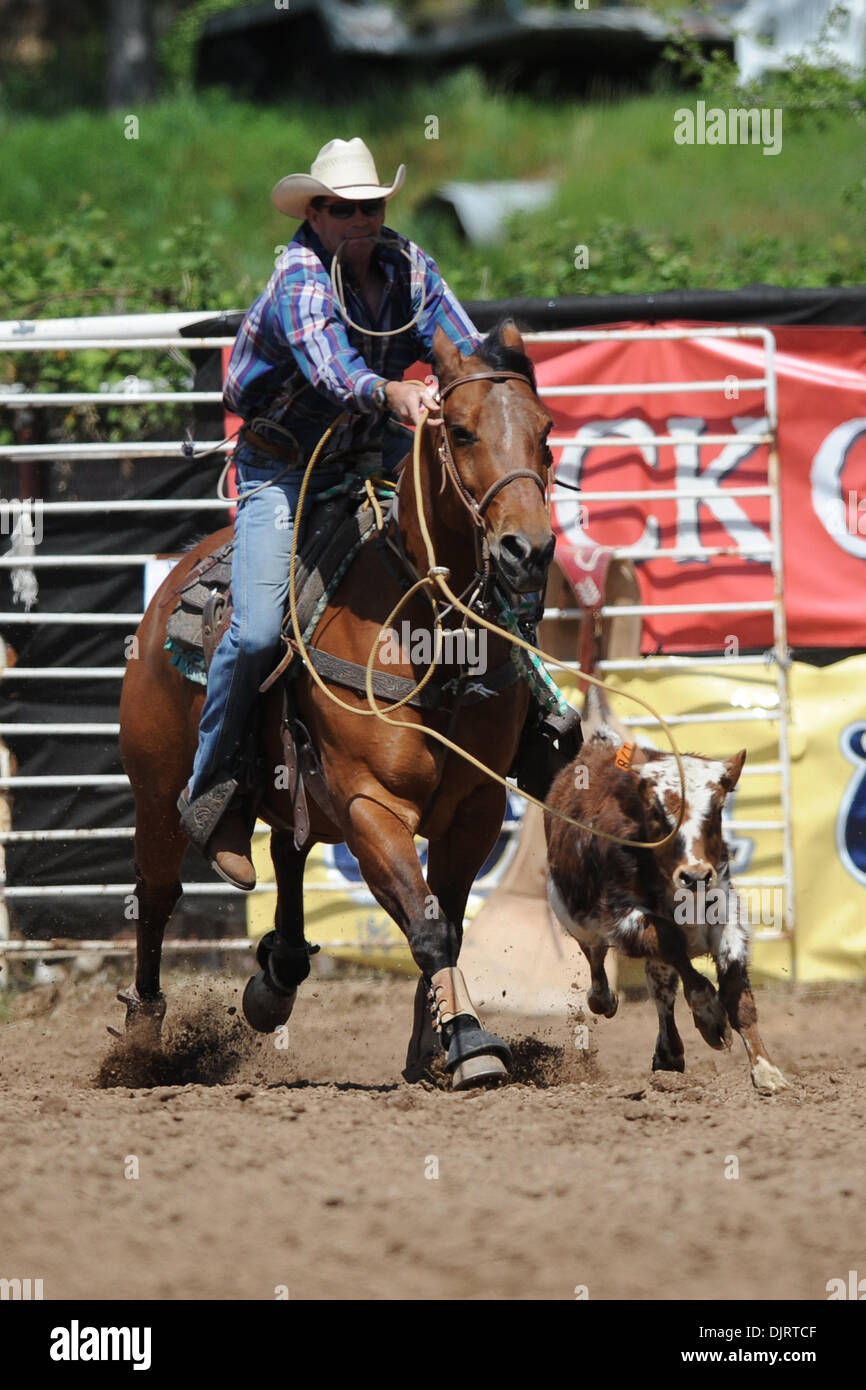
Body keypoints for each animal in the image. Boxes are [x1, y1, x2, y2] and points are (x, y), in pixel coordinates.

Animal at [116, 322, 556, 1084]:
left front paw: (432, 1044)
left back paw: (277, 977)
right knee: (157, 895)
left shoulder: (476, 805)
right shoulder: (368, 802)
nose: (527, 550)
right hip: (156, 792)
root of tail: (173, 583)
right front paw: (469, 1040)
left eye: (545, 431)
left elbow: (447, 920)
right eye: (462, 431)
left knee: (287, 850)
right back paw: (143, 1040)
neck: (429, 638)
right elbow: (429, 925)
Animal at [544, 722, 789, 1089]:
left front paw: (766, 1070)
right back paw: (603, 1000)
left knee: (661, 989)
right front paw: (711, 1019)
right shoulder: (625, 919)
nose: (695, 876)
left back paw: (669, 1053)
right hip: (576, 921)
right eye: (657, 812)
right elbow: (679, 956)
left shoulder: (724, 914)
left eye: (716, 809)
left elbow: (736, 992)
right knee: (599, 961)